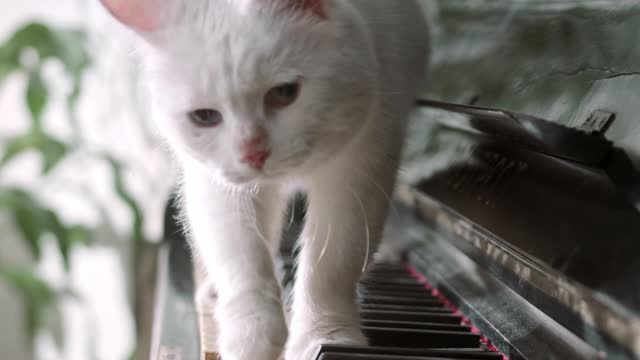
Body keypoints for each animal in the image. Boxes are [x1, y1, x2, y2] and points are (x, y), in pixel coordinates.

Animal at [100, 1, 430, 358]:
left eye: (284, 93)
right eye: (205, 117)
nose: (253, 153)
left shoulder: (363, 162)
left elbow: (333, 264)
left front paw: (326, 336)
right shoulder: (218, 184)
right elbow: (242, 259)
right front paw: (251, 337)